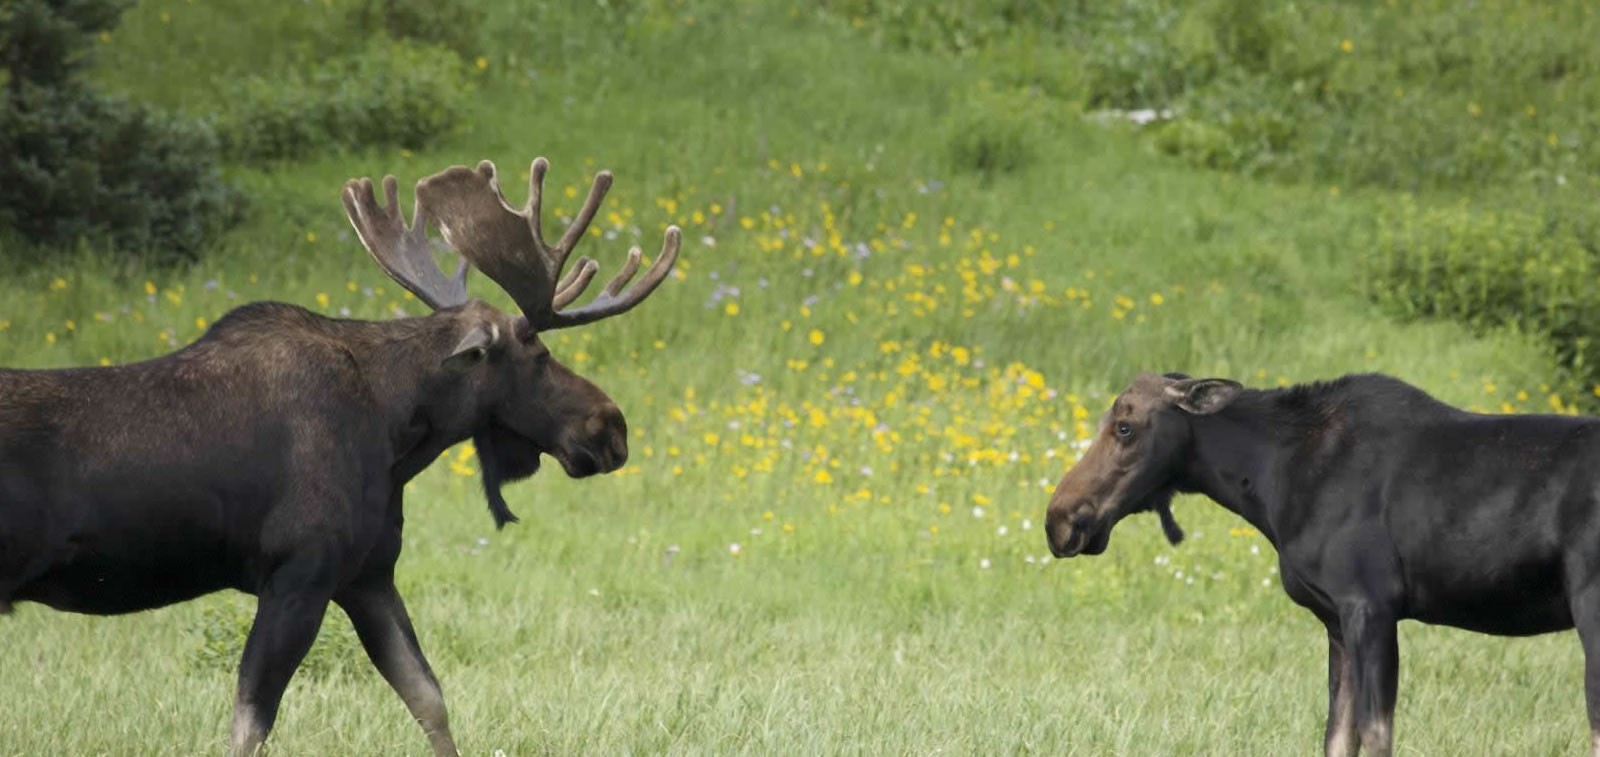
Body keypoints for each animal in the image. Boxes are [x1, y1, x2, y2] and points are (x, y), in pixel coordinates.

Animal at [0, 156, 678, 752]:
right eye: (537, 355)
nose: (611, 426)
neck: (397, 437)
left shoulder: (368, 573)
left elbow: (429, 698)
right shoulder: (300, 572)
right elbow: (249, 724)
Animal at [1043, 371, 1600, 755]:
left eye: (1125, 427)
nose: (1059, 519)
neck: (1269, 485)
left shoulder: (1369, 604)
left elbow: (1375, 733)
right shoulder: (1335, 619)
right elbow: (1337, 736)